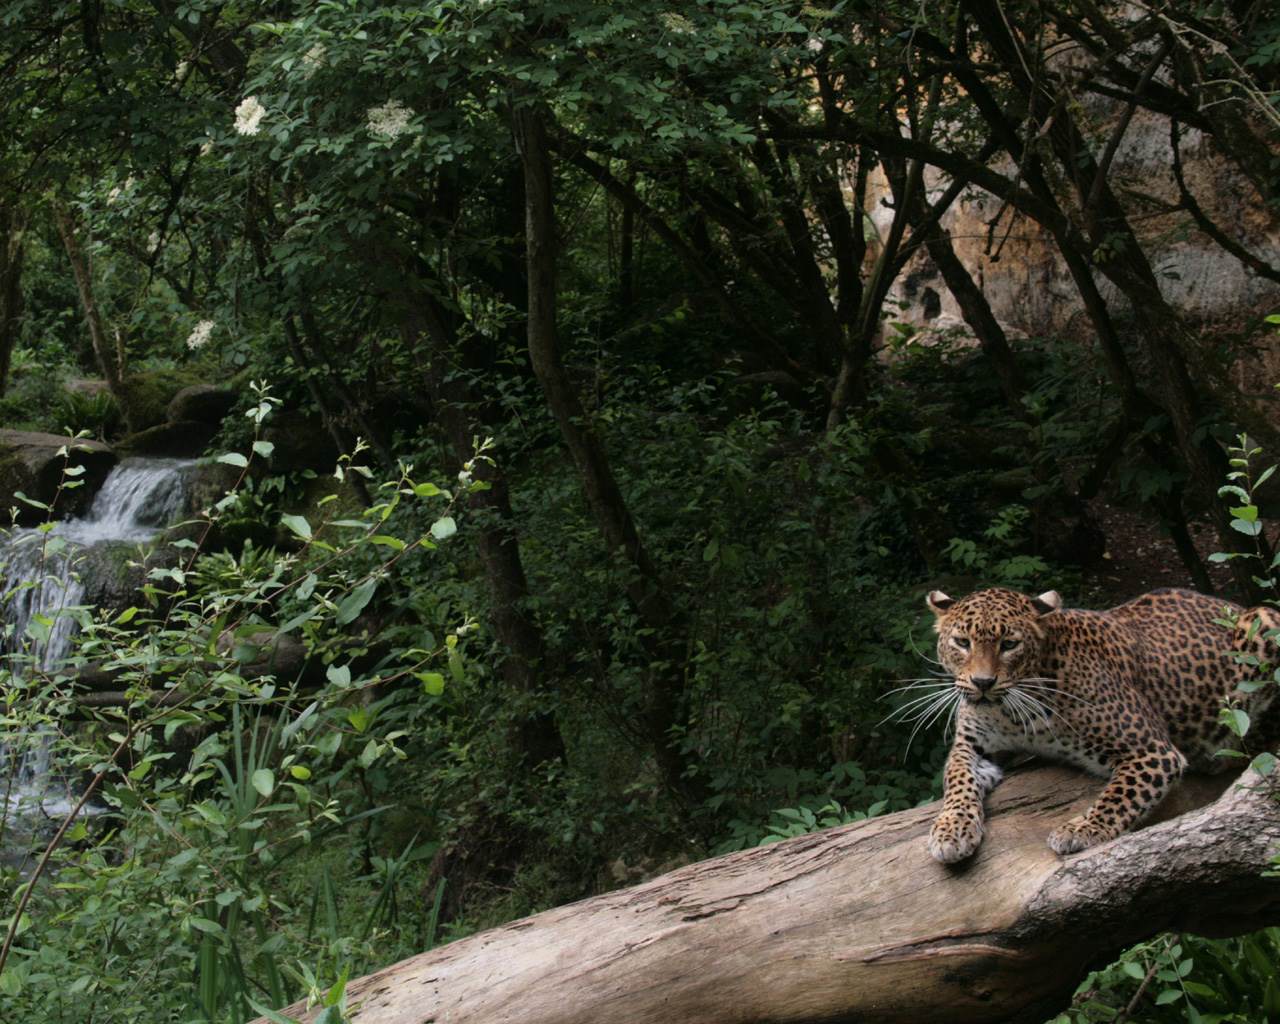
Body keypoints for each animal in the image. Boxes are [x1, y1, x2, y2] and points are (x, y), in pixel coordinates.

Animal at [911, 583, 1280, 865]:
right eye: (962, 643)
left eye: (1009, 644)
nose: (983, 683)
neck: (1013, 713)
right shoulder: (971, 745)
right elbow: (957, 779)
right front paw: (952, 829)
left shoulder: (1152, 751)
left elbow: (1120, 795)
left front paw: (1079, 830)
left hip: (1263, 620)